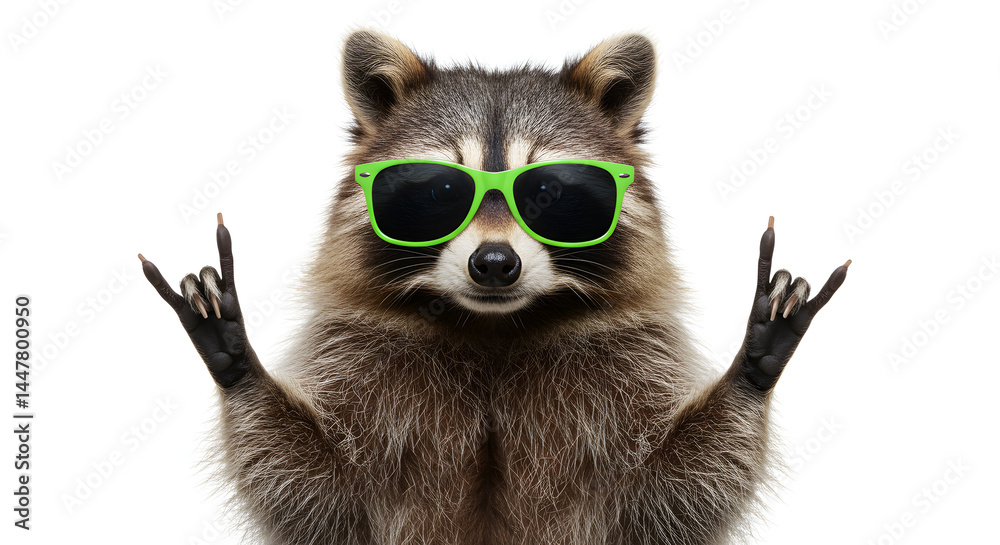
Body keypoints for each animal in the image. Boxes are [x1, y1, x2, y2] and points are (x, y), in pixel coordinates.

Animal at [140, 30, 848, 544]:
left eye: (552, 192)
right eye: (438, 192)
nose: (495, 263)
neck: (494, 326)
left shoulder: (629, 369)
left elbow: (671, 493)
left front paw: (754, 362)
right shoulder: (359, 364)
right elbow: (316, 491)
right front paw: (237, 358)